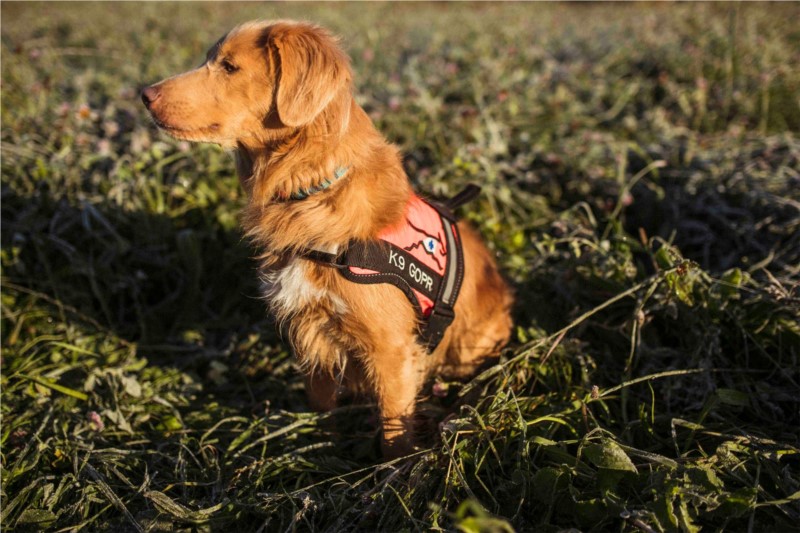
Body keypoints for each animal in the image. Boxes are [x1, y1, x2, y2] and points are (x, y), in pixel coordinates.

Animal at [141, 18, 512, 456]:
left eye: (229, 67)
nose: (144, 95)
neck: (311, 190)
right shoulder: (308, 326)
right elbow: (321, 403)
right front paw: (321, 449)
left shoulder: (391, 350)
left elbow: (393, 427)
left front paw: (396, 470)